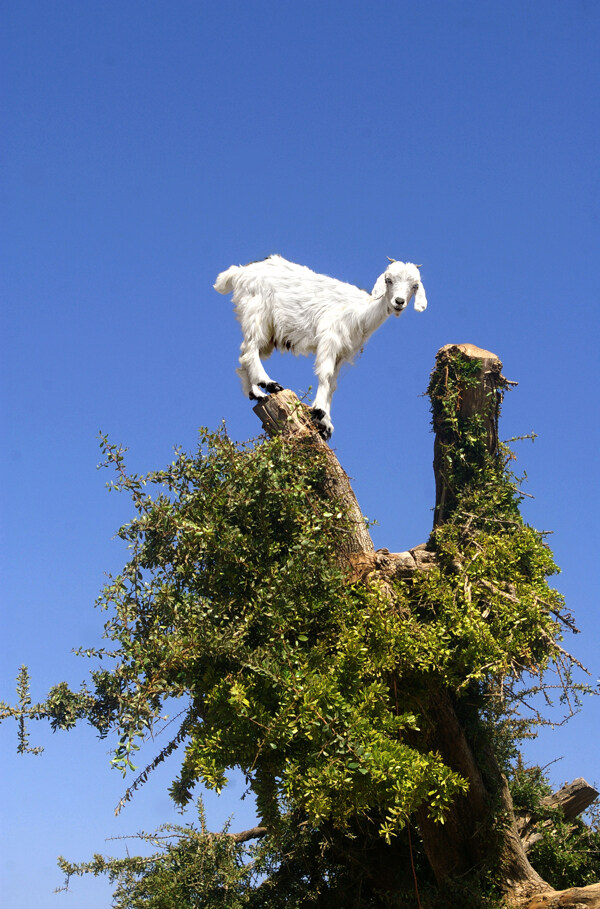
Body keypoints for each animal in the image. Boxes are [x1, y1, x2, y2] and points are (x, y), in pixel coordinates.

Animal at [214, 255, 426, 440]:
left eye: (415, 285)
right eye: (388, 280)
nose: (399, 302)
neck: (362, 313)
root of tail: (240, 272)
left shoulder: (343, 352)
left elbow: (332, 384)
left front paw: (326, 424)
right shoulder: (329, 339)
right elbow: (325, 375)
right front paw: (320, 413)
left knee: (245, 354)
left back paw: (256, 393)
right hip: (257, 312)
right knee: (249, 349)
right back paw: (269, 383)